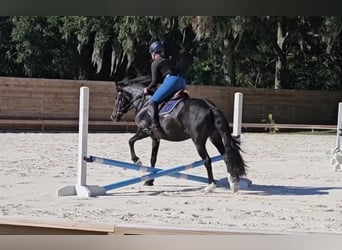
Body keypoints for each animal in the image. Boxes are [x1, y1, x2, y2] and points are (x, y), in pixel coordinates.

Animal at [111, 76, 247, 193]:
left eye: (117, 98)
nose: (113, 117)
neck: (143, 103)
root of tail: (210, 107)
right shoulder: (155, 138)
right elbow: (153, 158)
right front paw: (149, 181)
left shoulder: (143, 131)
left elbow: (130, 141)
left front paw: (137, 161)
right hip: (215, 137)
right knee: (226, 156)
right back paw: (233, 183)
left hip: (198, 141)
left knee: (207, 160)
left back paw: (210, 186)